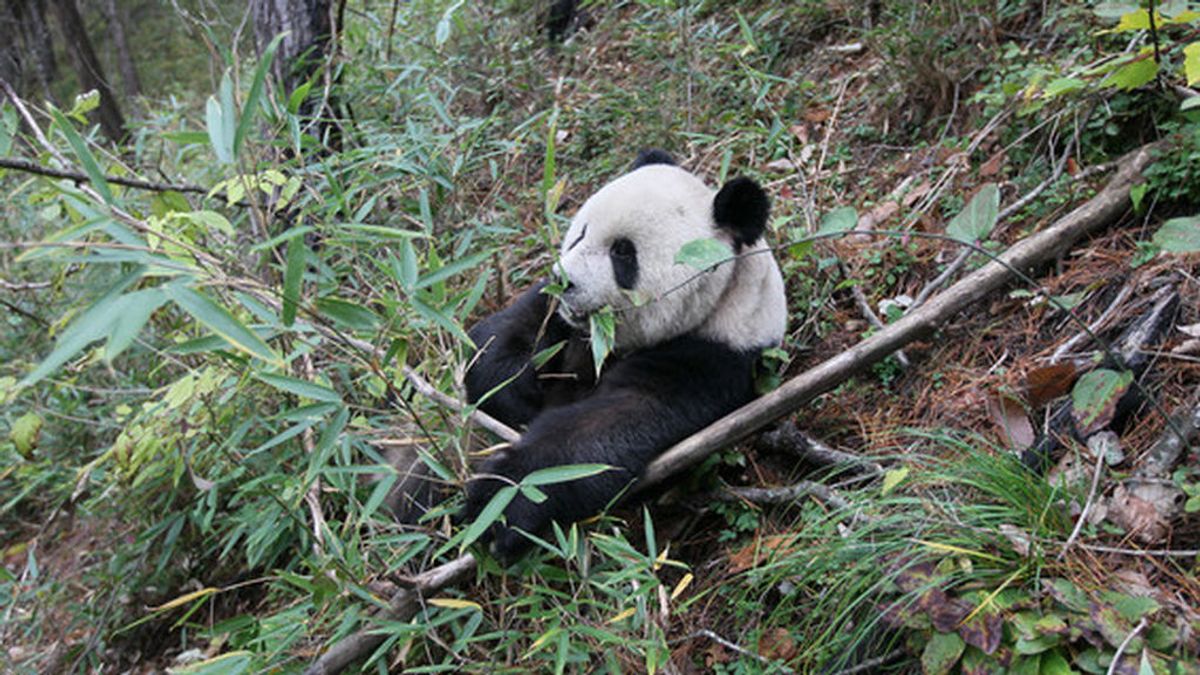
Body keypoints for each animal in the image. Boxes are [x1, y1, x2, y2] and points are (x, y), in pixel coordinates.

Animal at [460, 149, 787, 554]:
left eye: (622, 252)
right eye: (580, 233)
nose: (564, 280)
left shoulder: (710, 357)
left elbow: (610, 425)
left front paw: (507, 496)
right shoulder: (561, 318)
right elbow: (509, 329)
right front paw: (511, 391)